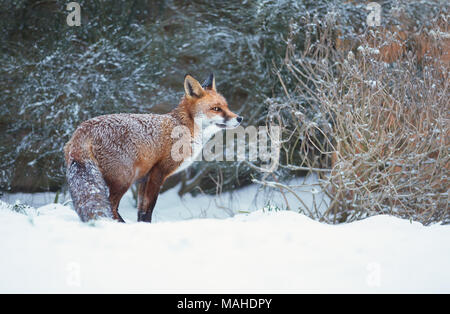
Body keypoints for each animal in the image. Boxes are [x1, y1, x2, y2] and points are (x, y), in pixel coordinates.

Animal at [64, 74, 243, 222]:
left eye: (227, 106)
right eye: (216, 109)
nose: (240, 118)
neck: (184, 128)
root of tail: (81, 130)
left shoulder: (144, 178)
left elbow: (141, 211)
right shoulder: (158, 173)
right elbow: (148, 210)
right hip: (123, 180)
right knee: (112, 207)